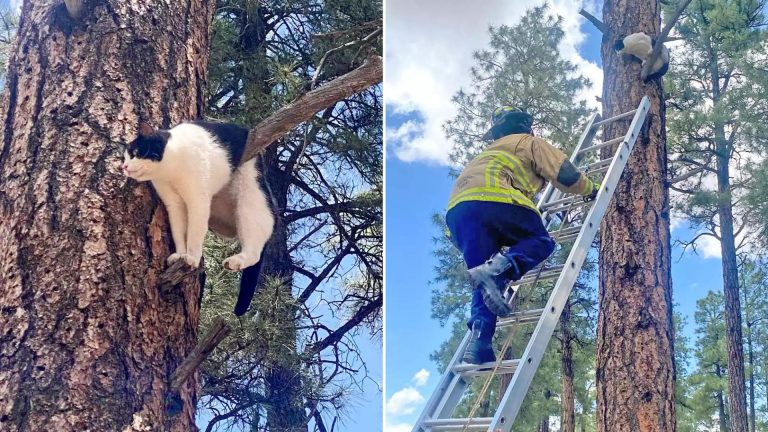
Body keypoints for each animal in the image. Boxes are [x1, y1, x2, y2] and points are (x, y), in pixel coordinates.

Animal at [121, 120, 274, 316]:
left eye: (135, 153)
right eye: (125, 157)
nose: (124, 167)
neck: (171, 169)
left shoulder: (198, 201)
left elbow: (194, 234)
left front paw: (192, 258)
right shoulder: (174, 204)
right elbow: (179, 232)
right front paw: (180, 254)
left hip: (250, 199)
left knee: (255, 248)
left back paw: (236, 261)